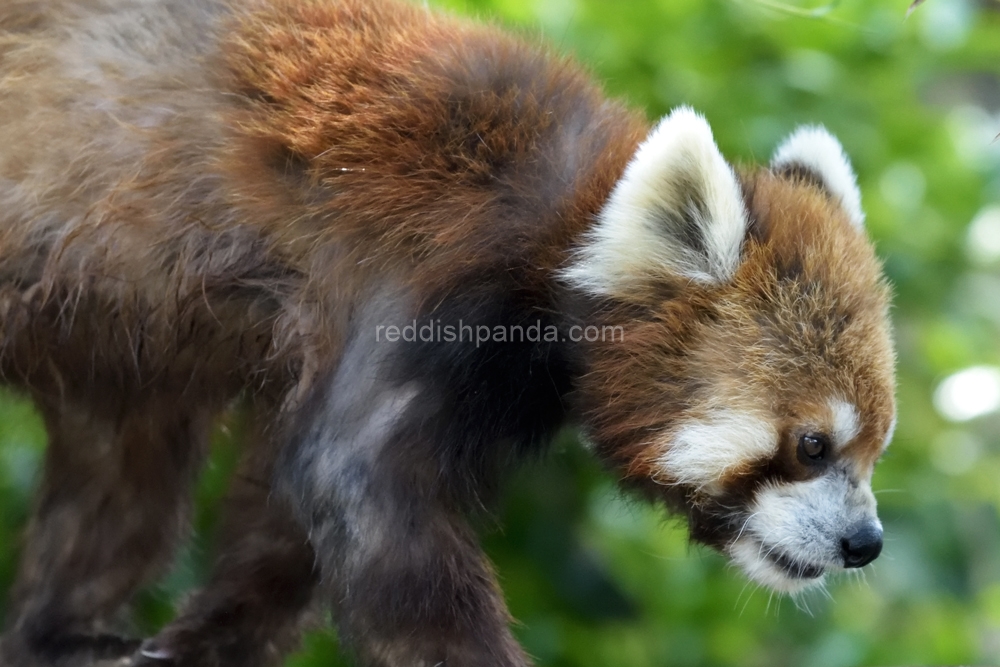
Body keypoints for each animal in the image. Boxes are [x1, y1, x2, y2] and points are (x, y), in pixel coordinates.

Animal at [0, 1, 896, 667]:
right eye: (812, 444)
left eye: (872, 449)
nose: (865, 542)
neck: (563, 227)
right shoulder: (431, 286)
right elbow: (359, 487)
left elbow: (287, 513)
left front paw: (207, 641)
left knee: (120, 470)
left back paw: (62, 632)